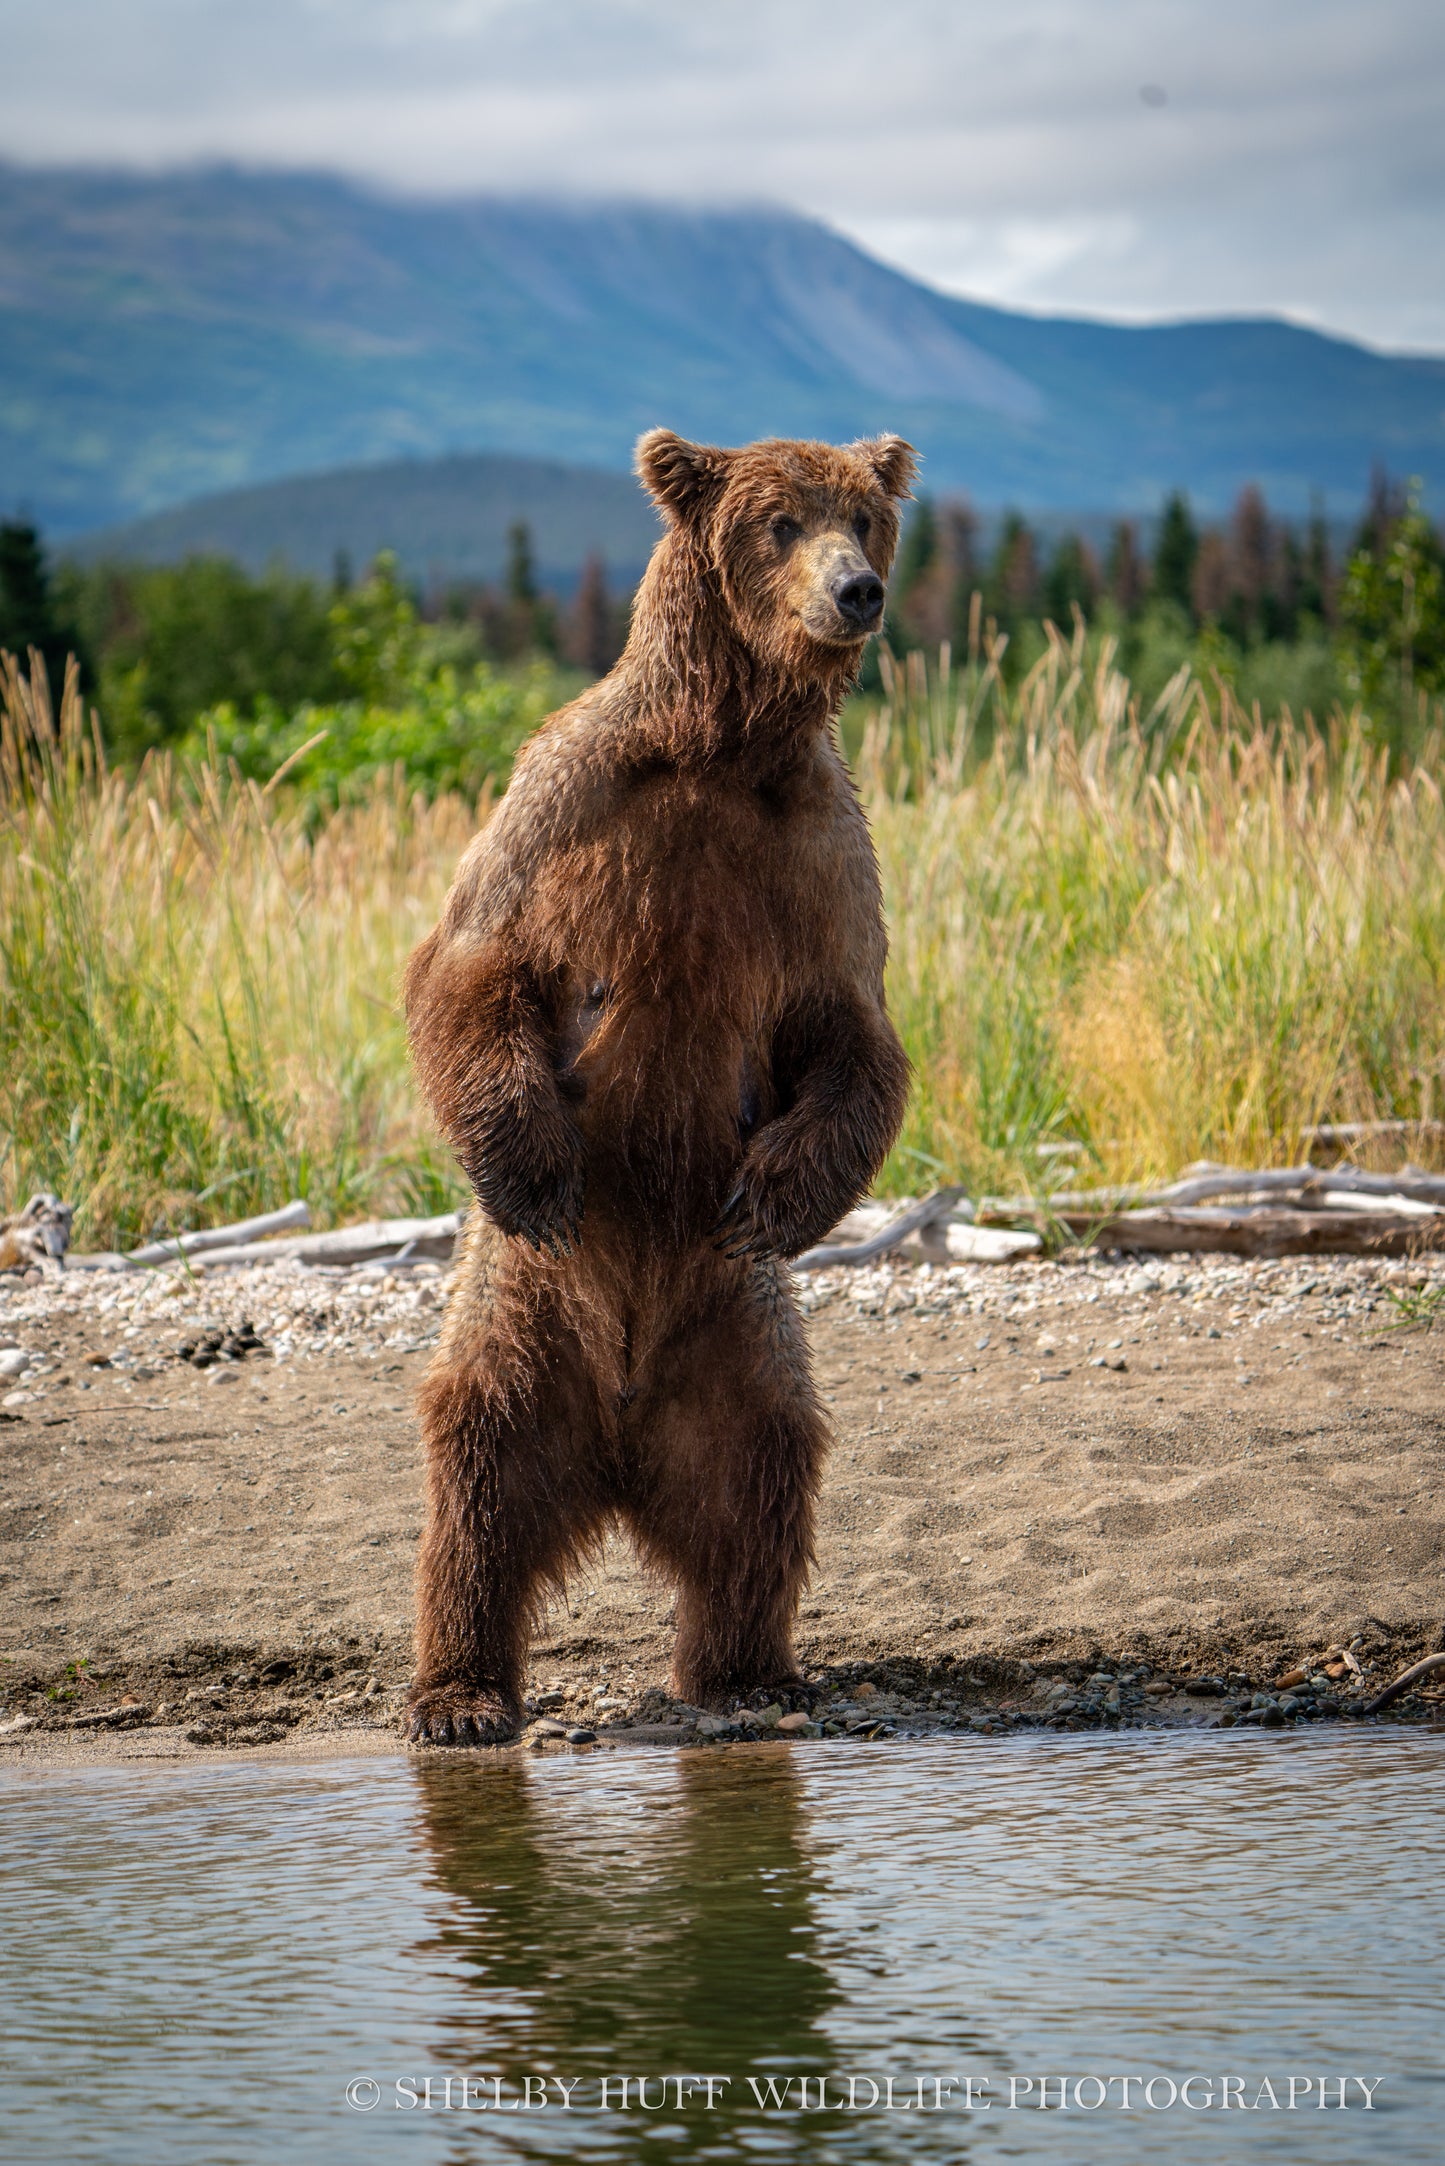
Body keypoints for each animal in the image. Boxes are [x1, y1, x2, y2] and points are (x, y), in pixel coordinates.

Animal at [400, 431, 909, 1750]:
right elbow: (470, 961)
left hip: (736, 1339)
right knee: (475, 1489)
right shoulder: (571, 799)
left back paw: (745, 1675)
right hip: (519, 1322)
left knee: (759, 1485)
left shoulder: (816, 850)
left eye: (864, 518)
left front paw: (775, 1196)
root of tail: (619, 1443)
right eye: (780, 522)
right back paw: (459, 1694)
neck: (721, 748)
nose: (856, 593)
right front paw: (533, 1169)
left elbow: (851, 1033)